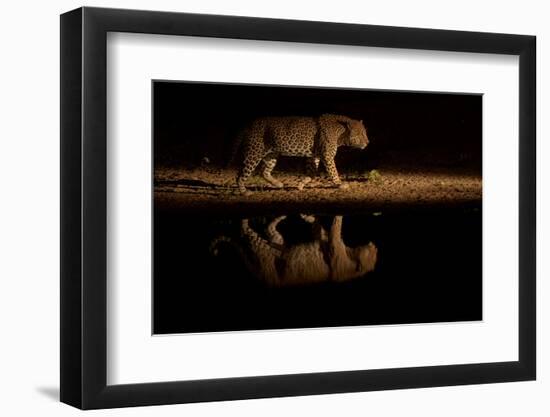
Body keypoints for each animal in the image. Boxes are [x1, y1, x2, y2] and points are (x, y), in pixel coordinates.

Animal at [211, 214, 380, 286]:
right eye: (373, 256)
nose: (375, 246)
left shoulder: (329, 243)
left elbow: (326, 228)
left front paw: (309, 216)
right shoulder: (331, 244)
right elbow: (331, 227)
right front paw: (310, 216)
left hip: (270, 249)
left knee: (263, 229)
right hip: (266, 250)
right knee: (248, 228)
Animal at [231, 112, 368, 193]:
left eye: (365, 133)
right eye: (360, 134)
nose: (368, 142)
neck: (341, 133)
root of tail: (249, 124)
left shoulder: (314, 156)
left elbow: (312, 174)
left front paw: (300, 185)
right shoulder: (327, 155)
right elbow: (333, 171)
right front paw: (340, 184)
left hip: (271, 155)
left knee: (264, 171)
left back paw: (278, 184)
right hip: (254, 152)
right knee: (240, 173)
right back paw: (244, 191)